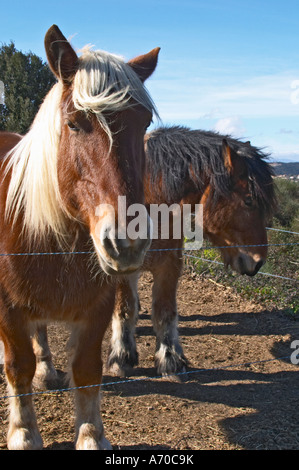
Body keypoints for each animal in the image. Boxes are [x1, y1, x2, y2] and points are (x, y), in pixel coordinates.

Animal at [0, 23, 161, 450]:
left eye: (143, 124)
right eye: (74, 123)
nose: (126, 241)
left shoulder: (97, 307)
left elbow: (87, 371)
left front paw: (91, 435)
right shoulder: (7, 308)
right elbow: (16, 367)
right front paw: (23, 432)